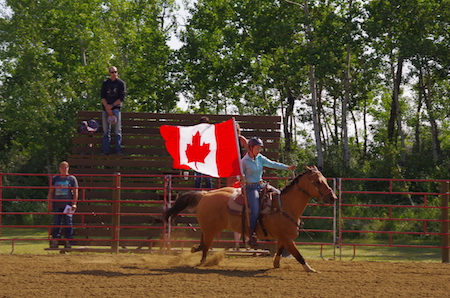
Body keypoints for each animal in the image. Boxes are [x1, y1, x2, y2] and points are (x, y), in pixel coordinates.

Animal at [163, 165, 336, 272]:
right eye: (318, 181)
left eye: (325, 180)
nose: (333, 198)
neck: (285, 206)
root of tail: (205, 195)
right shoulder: (287, 238)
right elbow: (298, 254)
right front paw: (311, 269)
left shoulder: (282, 238)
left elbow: (279, 253)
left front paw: (276, 264)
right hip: (211, 230)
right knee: (205, 247)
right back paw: (202, 261)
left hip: (208, 228)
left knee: (202, 242)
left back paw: (196, 249)